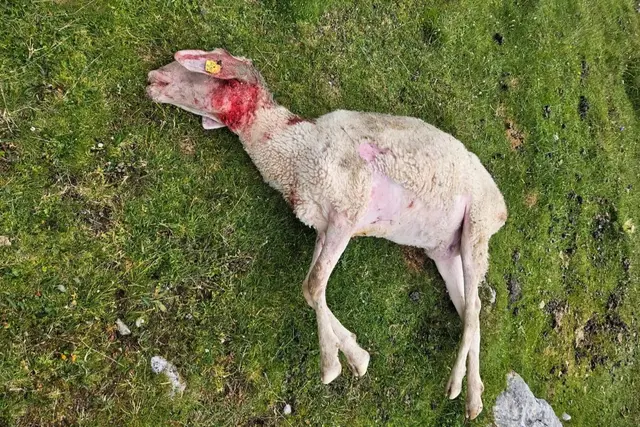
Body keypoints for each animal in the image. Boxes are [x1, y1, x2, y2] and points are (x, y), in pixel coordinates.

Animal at [146, 48, 507, 419]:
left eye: (208, 71)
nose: (152, 79)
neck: (296, 154)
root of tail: (502, 208)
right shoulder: (322, 227)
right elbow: (309, 287)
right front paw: (356, 356)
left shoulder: (347, 210)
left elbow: (314, 284)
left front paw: (332, 365)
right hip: (446, 251)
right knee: (471, 310)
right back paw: (474, 392)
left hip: (476, 227)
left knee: (474, 305)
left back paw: (461, 390)